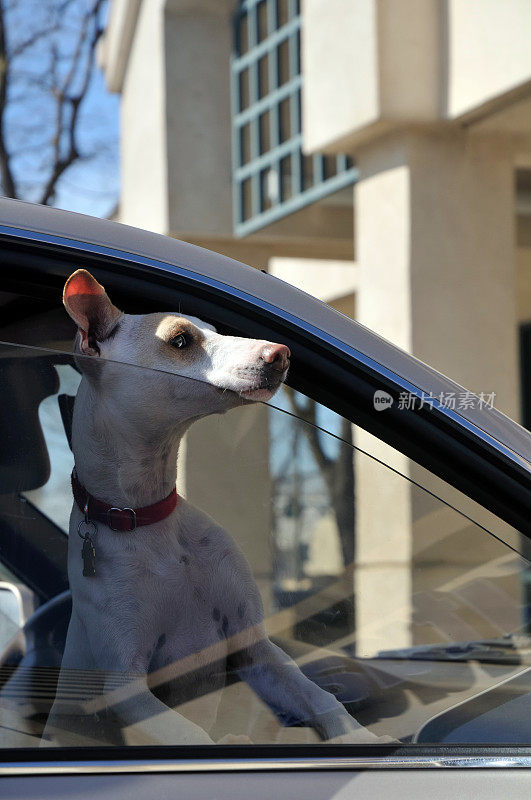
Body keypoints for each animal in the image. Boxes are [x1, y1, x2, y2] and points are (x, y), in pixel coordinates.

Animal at [43, 270, 384, 752]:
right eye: (181, 340)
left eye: (216, 329)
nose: (280, 353)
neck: (146, 518)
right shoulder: (126, 688)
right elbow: (188, 734)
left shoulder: (255, 647)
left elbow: (320, 697)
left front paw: (357, 736)